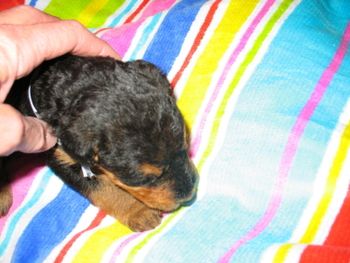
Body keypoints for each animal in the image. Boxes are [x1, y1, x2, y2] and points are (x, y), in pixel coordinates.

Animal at [0, 55, 197, 231]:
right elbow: (105, 190)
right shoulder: (60, 156)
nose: (189, 194)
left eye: (186, 145)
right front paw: (139, 213)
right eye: (145, 178)